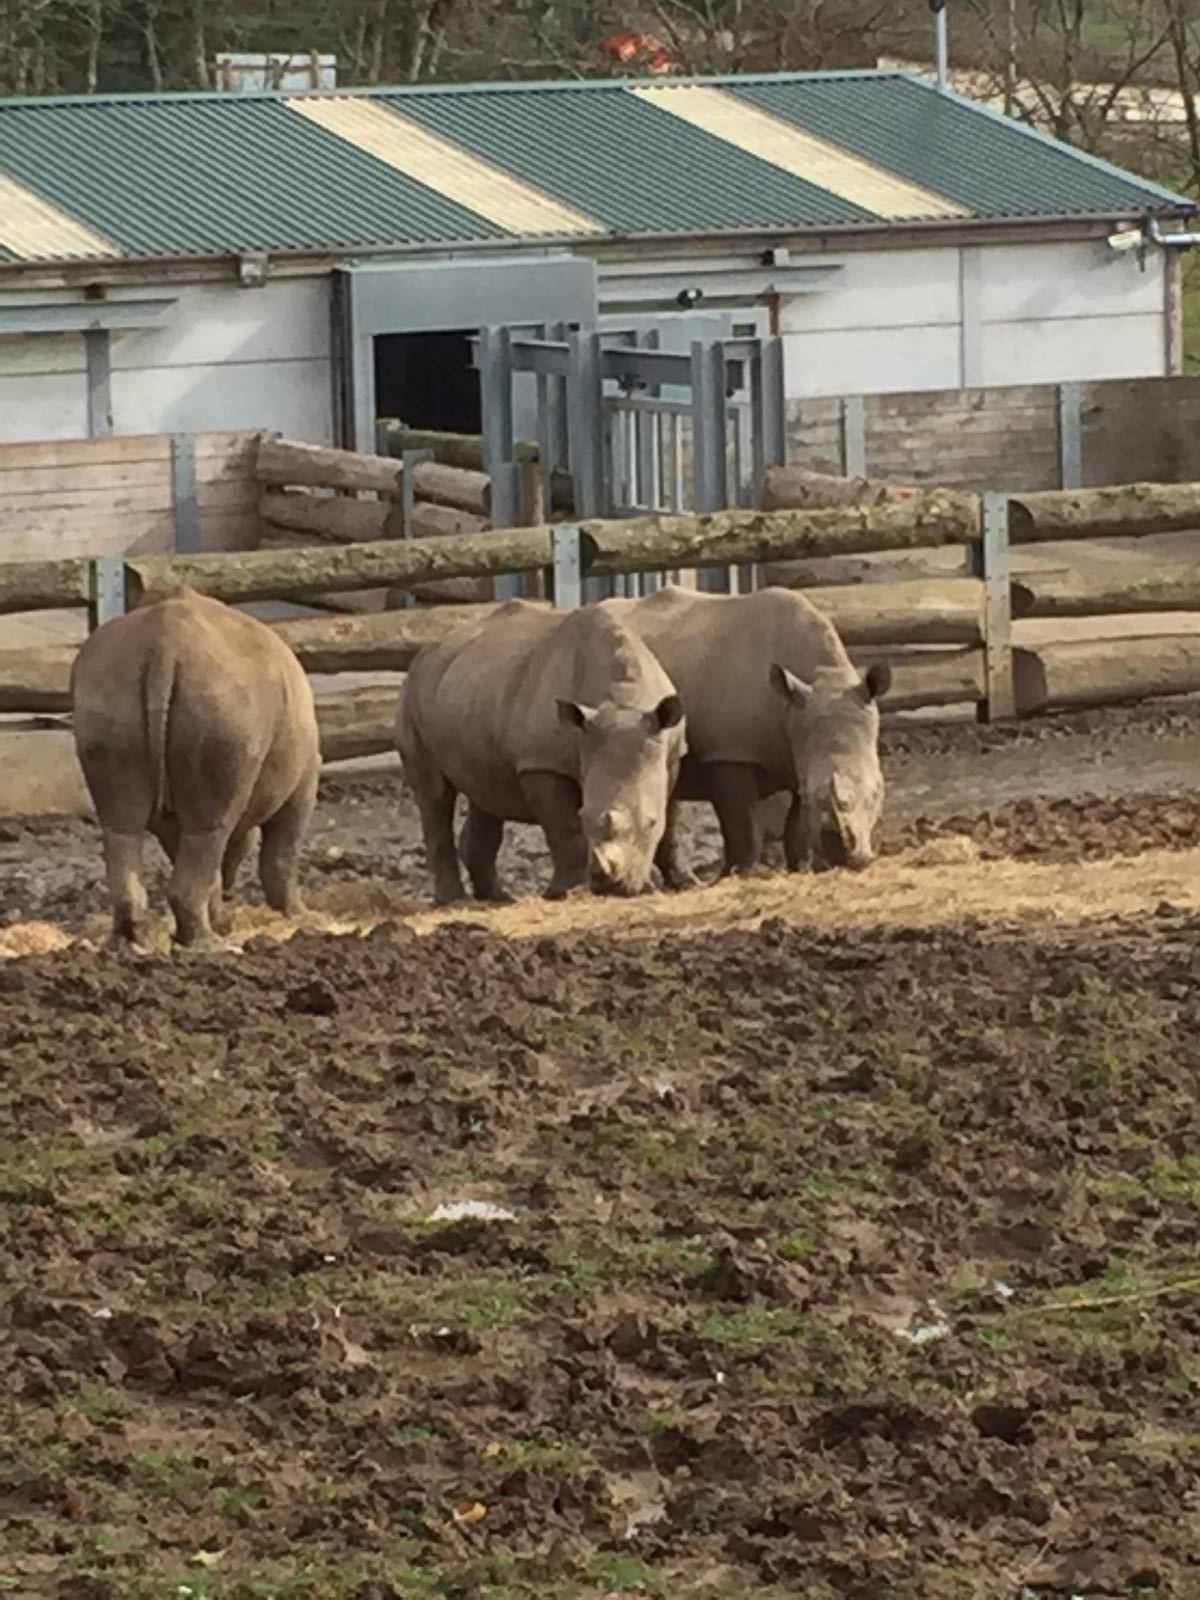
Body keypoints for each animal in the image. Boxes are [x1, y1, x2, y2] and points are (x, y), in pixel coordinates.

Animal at [71, 586, 320, 950]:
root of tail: (166, 645)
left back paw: (130, 943)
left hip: (109, 693)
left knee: (123, 825)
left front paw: (217, 919)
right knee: (211, 829)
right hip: (225, 706)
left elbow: (194, 857)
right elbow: (282, 850)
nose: (232, 896)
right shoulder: (303, 781)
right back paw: (211, 947)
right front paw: (300, 917)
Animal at [396, 599, 686, 904]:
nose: (614, 887)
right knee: (435, 795)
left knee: (485, 793)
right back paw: (455, 900)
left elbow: (668, 818)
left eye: (652, 823)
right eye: (584, 816)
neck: (624, 703)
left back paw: (498, 897)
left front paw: (649, 886)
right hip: (412, 693)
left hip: (470, 686)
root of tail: (425, 651)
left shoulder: (670, 755)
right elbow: (565, 828)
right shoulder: (542, 763)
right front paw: (567, 891)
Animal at [602, 584, 890, 877]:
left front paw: (800, 867)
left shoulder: (797, 749)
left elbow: (795, 825)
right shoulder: (730, 752)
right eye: (815, 796)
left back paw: (685, 881)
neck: (824, 676)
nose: (850, 857)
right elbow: (745, 825)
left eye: (878, 793)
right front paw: (738, 872)